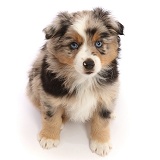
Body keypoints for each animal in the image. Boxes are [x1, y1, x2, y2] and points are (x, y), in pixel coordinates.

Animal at [26, 7, 124, 156]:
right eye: (73, 45)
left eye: (99, 43)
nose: (89, 64)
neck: (84, 79)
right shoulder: (50, 94)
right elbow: (51, 116)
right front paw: (49, 137)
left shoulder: (107, 92)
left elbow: (102, 121)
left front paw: (101, 143)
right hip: (35, 80)